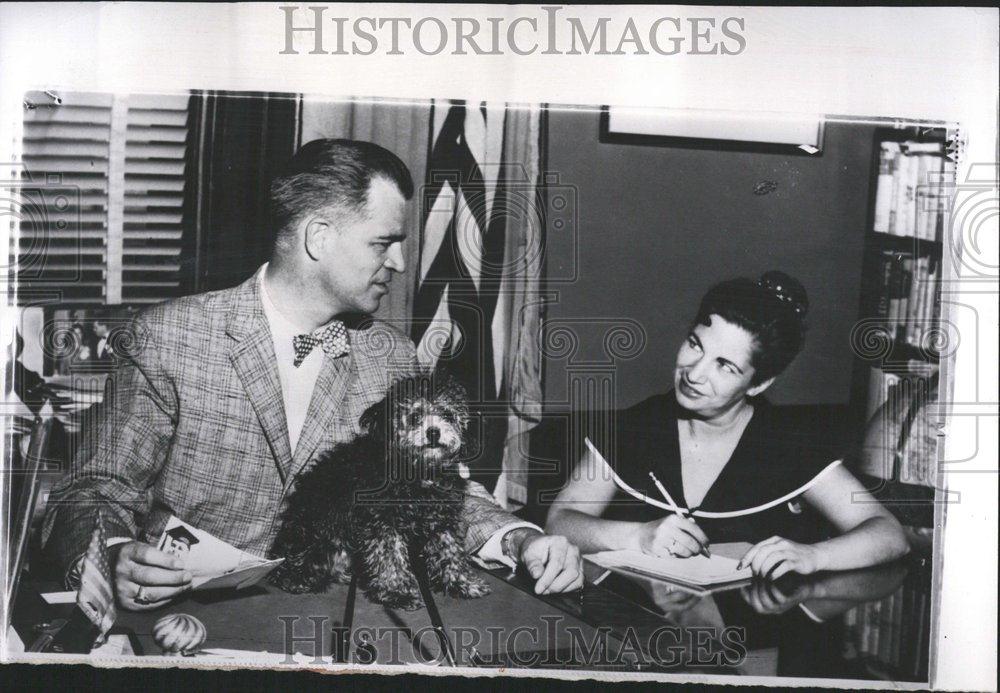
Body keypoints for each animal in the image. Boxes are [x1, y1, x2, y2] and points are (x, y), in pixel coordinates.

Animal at [268, 376, 490, 608]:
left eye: (447, 415)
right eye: (415, 416)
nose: (433, 432)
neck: (417, 474)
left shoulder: (443, 519)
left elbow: (451, 550)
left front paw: (462, 583)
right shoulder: (382, 521)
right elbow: (390, 557)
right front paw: (397, 591)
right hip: (316, 534)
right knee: (290, 567)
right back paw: (296, 578)